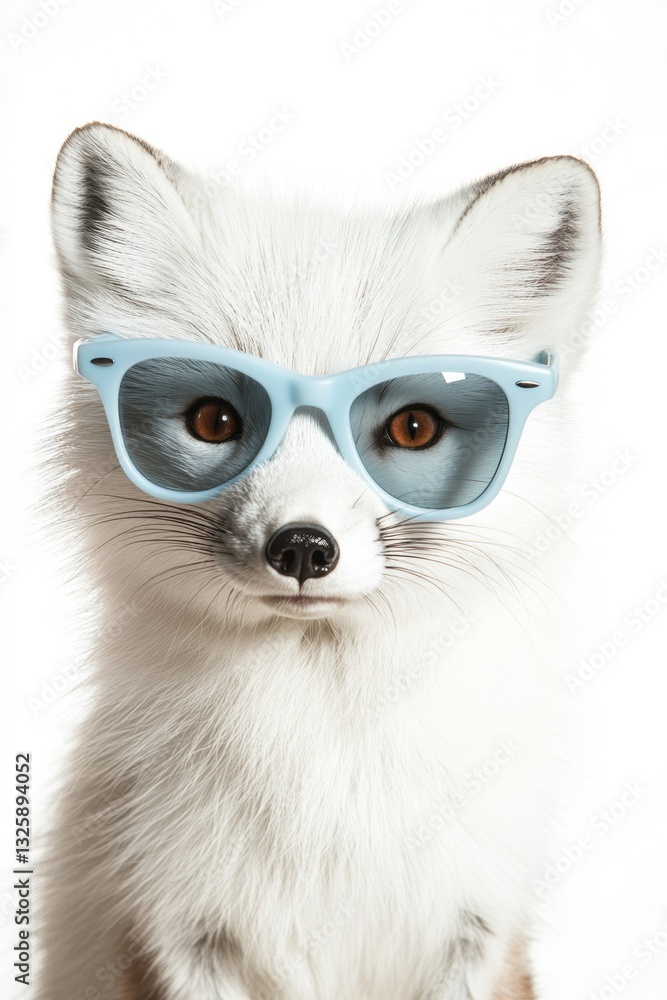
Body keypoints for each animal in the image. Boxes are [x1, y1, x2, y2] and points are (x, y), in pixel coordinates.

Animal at [39, 121, 601, 1000]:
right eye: (214, 419)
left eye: (412, 427)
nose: (301, 546)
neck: (320, 755)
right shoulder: (174, 929)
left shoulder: (476, 930)